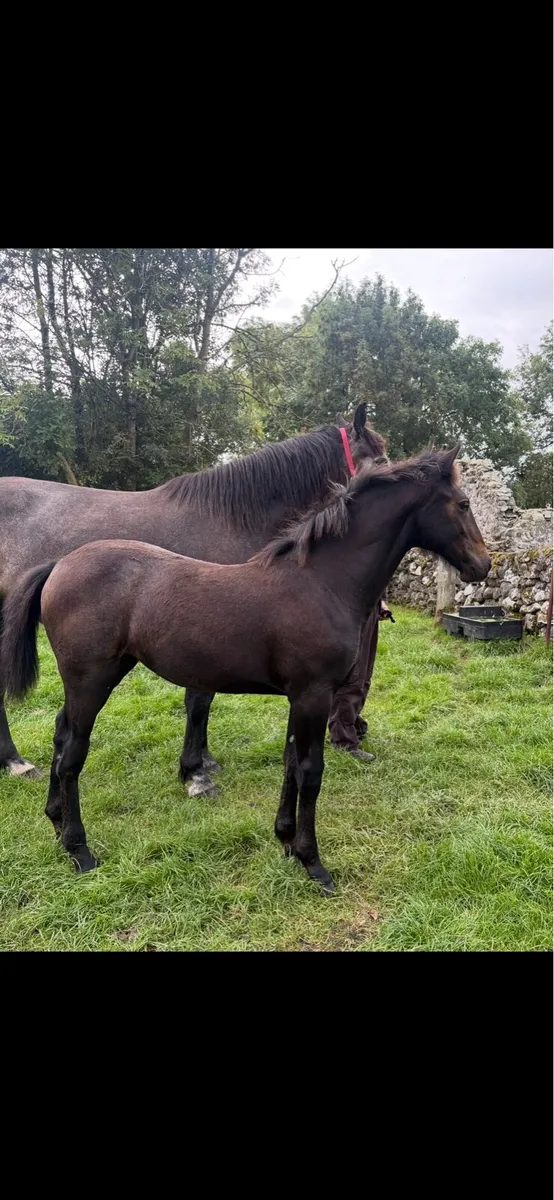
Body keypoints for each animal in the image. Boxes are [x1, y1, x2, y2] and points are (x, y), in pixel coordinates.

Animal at [0, 403, 387, 794]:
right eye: (382, 459)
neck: (229, 519)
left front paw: (205, 759)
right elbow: (198, 701)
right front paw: (195, 772)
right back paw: (16, 762)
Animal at [1, 445, 490, 892]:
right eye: (464, 504)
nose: (483, 565)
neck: (321, 582)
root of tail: (58, 565)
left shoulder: (300, 697)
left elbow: (291, 763)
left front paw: (286, 840)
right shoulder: (315, 694)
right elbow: (311, 771)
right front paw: (314, 862)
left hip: (90, 679)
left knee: (60, 736)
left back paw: (55, 823)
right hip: (91, 680)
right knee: (71, 755)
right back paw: (79, 849)